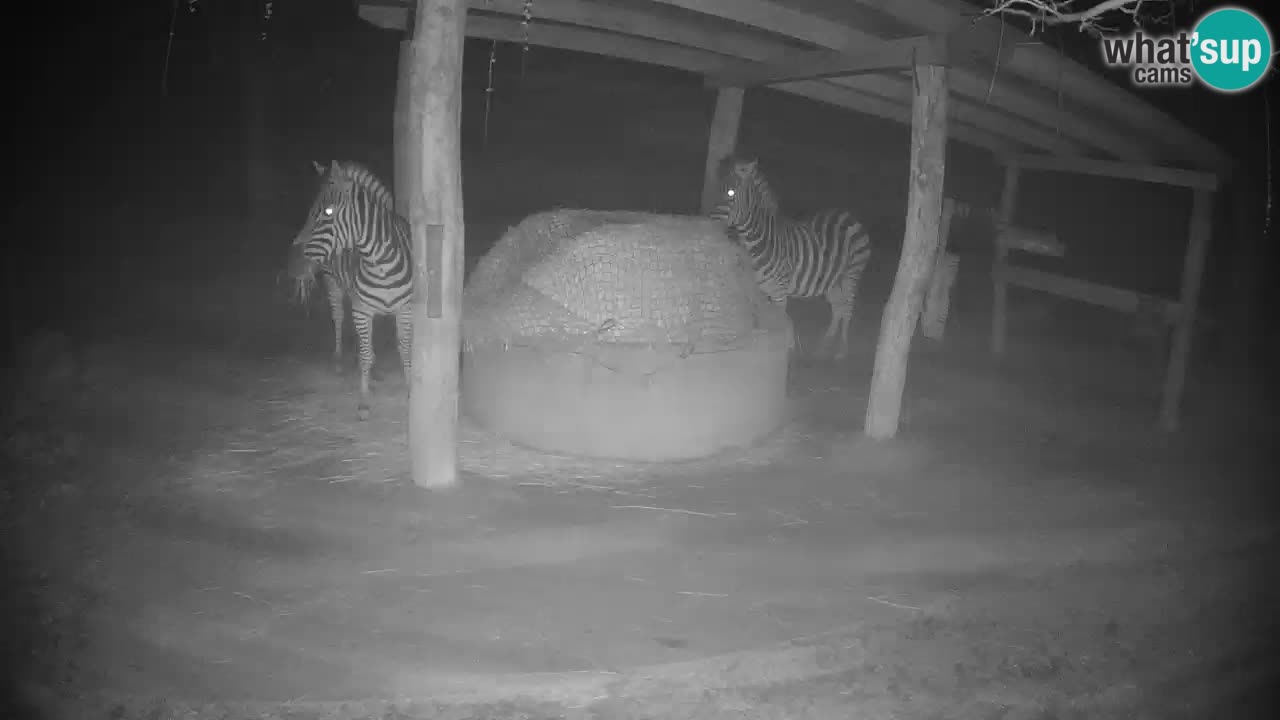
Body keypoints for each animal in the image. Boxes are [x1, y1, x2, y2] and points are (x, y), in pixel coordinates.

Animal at [287, 160, 413, 419]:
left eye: (327, 212)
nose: (291, 266)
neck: (381, 264)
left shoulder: (405, 309)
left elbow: (404, 349)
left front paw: (410, 391)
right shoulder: (362, 309)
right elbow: (364, 354)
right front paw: (364, 401)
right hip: (333, 285)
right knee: (338, 318)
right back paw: (339, 361)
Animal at [709, 157, 873, 361]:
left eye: (731, 192)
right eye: (716, 189)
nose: (708, 223)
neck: (760, 242)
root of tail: (848, 214)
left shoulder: (780, 293)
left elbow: (779, 324)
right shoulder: (762, 290)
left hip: (852, 274)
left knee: (848, 310)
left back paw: (841, 351)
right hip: (832, 281)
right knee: (838, 309)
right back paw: (823, 347)